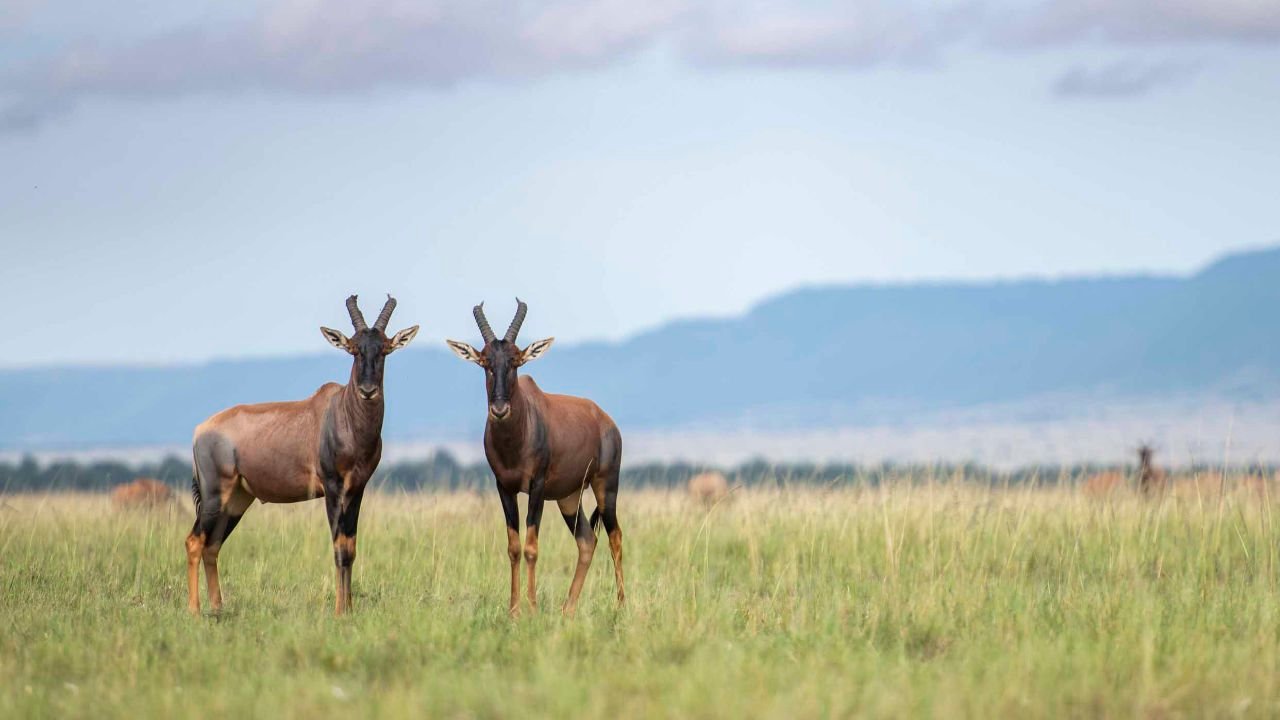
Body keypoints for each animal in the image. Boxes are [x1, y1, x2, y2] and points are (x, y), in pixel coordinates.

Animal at [185, 294, 417, 614]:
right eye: (353, 349)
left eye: (384, 349)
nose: (368, 391)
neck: (342, 412)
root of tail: (200, 430)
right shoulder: (333, 488)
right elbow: (338, 548)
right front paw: (339, 612)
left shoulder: (357, 490)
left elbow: (350, 547)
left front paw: (349, 609)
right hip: (214, 495)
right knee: (194, 542)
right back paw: (195, 611)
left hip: (237, 500)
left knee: (213, 545)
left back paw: (219, 609)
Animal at [450, 299, 624, 614]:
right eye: (485, 363)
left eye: (516, 362)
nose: (499, 409)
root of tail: (606, 420)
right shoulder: (504, 488)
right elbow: (514, 547)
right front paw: (514, 610)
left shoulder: (537, 487)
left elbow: (531, 547)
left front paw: (531, 608)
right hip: (569, 498)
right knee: (587, 540)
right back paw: (568, 609)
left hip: (606, 486)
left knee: (615, 537)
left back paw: (621, 605)